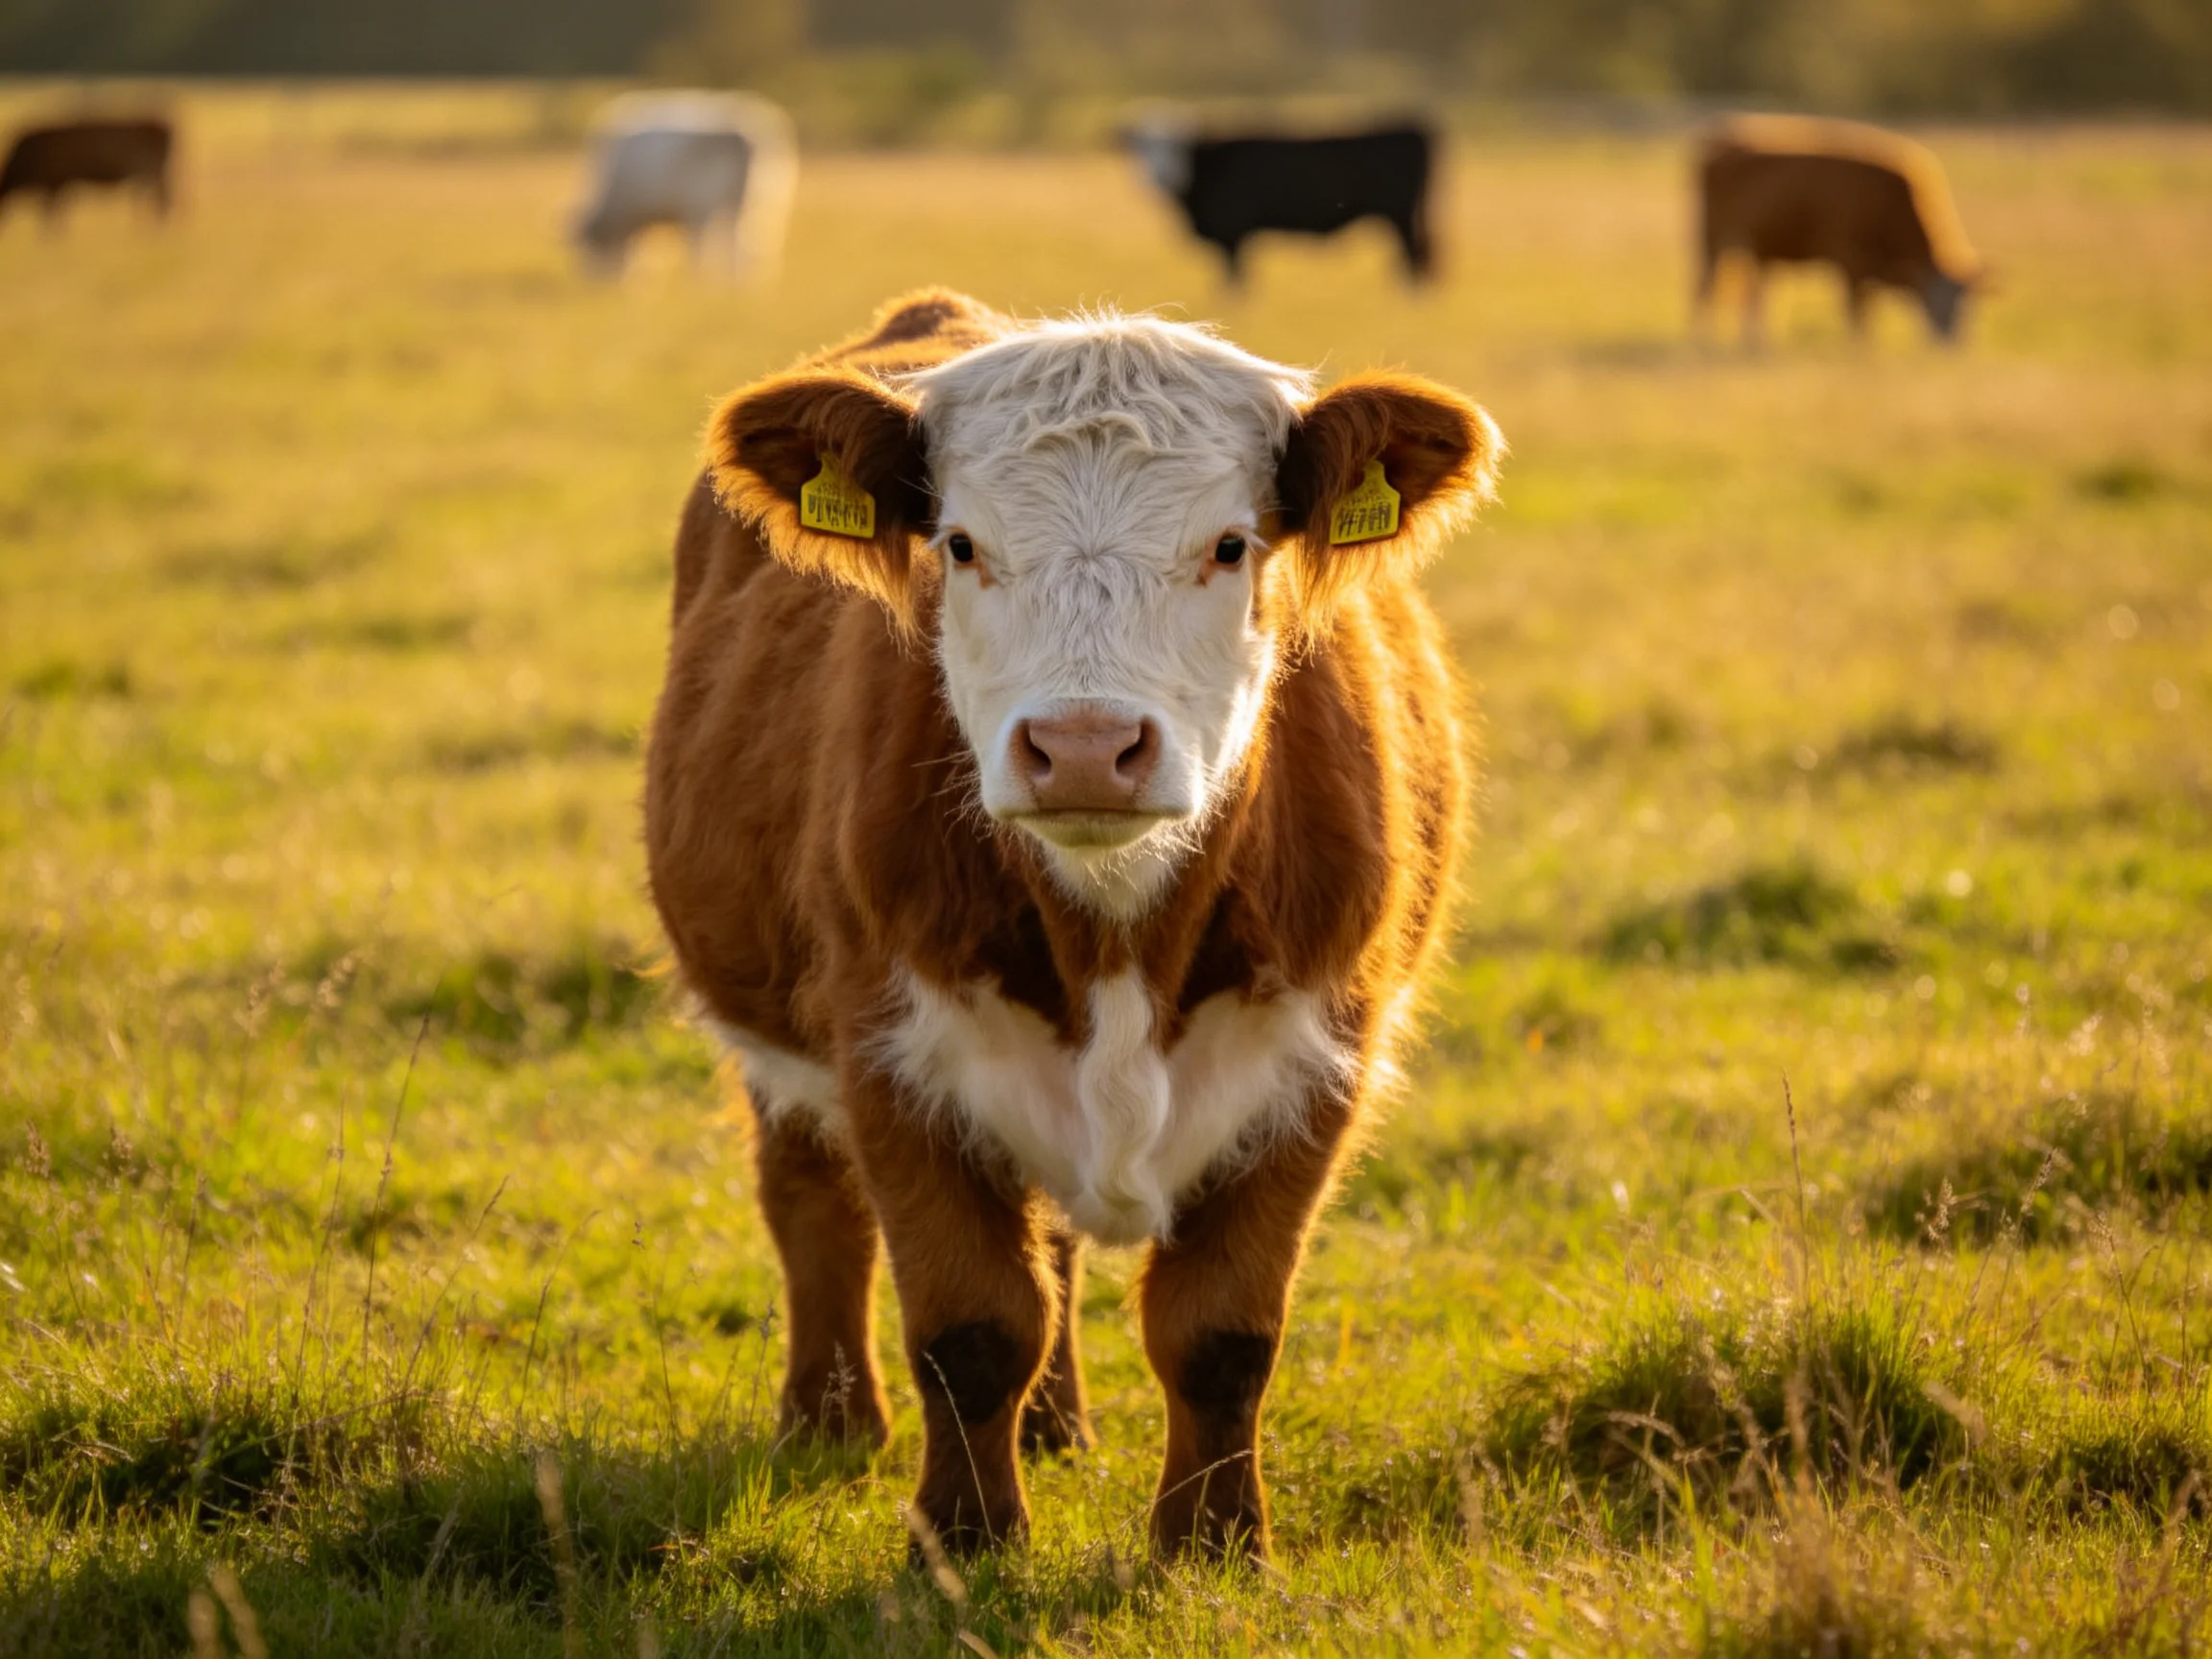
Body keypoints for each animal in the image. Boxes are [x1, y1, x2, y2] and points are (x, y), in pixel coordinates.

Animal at [572, 91, 796, 281]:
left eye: (589, 249)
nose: (595, 282)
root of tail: (740, 134)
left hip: (704, 202)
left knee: (710, 242)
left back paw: (702, 280)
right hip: (753, 201)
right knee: (748, 242)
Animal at [644, 289, 1502, 1559]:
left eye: (1230, 544)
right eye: (959, 545)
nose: (1087, 747)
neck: (1115, 932)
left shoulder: (1318, 1057)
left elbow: (1221, 1332)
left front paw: (1212, 1542)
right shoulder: (889, 1048)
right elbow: (972, 1325)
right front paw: (965, 1538)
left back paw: (1057, 1428)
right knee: (812, 1201)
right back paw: (831, 1423)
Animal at [1124, 113, 1436, 285]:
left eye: (1177, 147)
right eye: (1140, 148)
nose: (1160, 177)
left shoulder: (1232, 233)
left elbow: (1235, 280)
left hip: (1400, 216)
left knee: (1412, 257)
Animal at [1693, 115, 1985, 346]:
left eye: (1967, 306)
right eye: (1936, 301)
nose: (1951, 342)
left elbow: (1866, 312)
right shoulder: (1851, 261)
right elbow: (1857, 313)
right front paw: (1858, 348)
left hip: (1756, 249)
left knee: (1752, 296)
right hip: (1713, 240)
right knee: (1707, 290)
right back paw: (1707, 339)